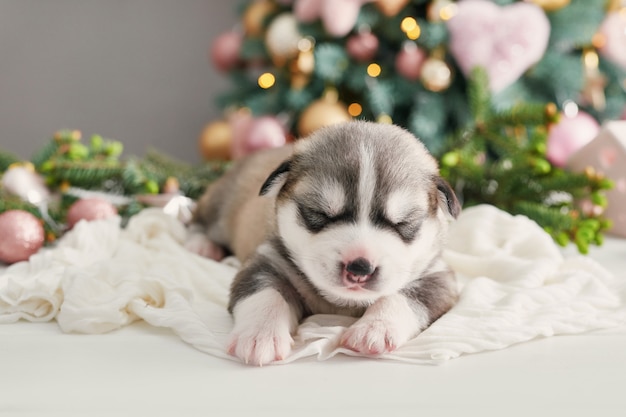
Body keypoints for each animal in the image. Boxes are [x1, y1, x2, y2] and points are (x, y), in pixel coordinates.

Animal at [186, 119, 458, 364]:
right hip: (221, 209)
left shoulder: (437, 276)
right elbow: (265, 292)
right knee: (198, 218)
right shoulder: (267, 259)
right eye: (319, 213)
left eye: (402, 224)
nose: (360, 267)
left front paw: (375, 329)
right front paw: (260, 335)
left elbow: (404, 298)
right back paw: (203, 244)